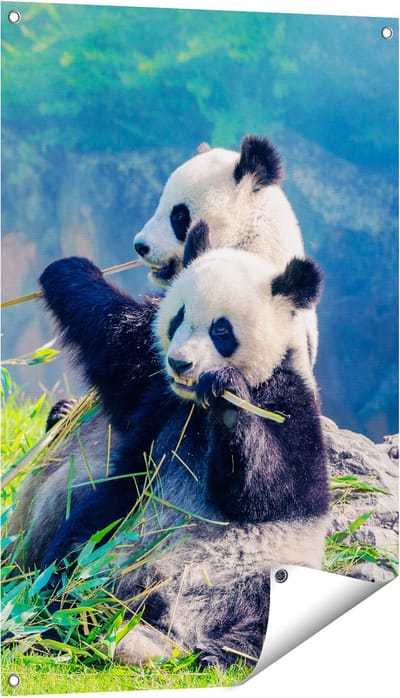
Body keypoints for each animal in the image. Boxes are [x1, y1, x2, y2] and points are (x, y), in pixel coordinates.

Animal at [35, 243, 328, 667]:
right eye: (177, 318)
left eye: (221, 330)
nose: (180, 363)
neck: (195, 406)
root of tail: (170, 622)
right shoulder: (159, 400)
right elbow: (118, 342)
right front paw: (70, 270)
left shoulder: (291, 401)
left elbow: (274, 491)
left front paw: (228, 397)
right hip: (110, 545)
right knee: (73, 558)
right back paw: (62, 619)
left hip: (260, 570)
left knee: (266, 610)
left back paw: (221, 653)